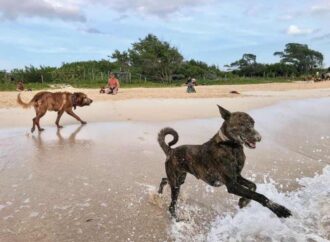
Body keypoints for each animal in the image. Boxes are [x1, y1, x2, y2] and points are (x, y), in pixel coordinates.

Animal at [157, 105, 292, 219]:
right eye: (242, 124)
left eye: (253, 123)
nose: (259, 138)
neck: (231, 146)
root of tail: (170, 150)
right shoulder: (232, 184)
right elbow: (259, 196)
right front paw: (279, 209)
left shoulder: (237, 176)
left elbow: (253, 186)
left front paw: (243, 201)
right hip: (176, 183)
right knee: (171, 206)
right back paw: (176, 219)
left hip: (179, 178)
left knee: (164, 180)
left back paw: (159, 192)